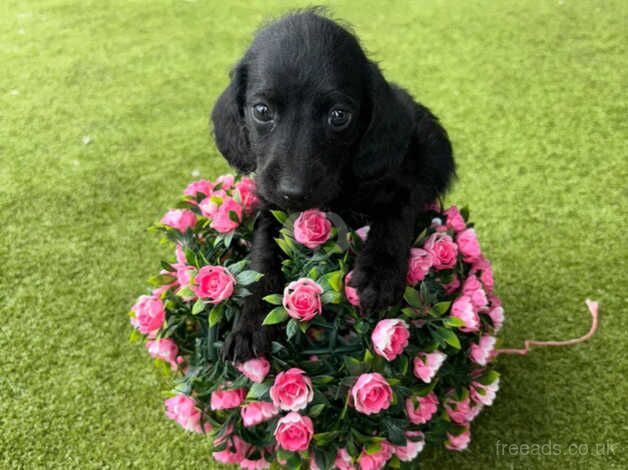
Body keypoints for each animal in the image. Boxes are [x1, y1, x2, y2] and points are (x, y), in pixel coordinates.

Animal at [213, 11, 454, 362]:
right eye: (262, 111)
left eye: (339, 115)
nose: (293, 191)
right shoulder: (270, 205)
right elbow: (262, 257)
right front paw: (251, 321)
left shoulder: (402, 181)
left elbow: (395, 215)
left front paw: (379, 273)